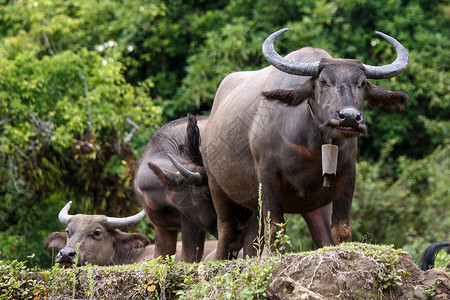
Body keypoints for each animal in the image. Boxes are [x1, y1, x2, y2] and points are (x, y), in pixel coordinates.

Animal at [205, 28, 412, 260]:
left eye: (362, 84)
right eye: (324, 81)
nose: (349, 117)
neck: (312, 144)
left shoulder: (347, 174)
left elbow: (341, 229)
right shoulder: (267, 175)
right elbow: (275, 229)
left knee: (255, 237)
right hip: (216, 186)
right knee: (226, 230)